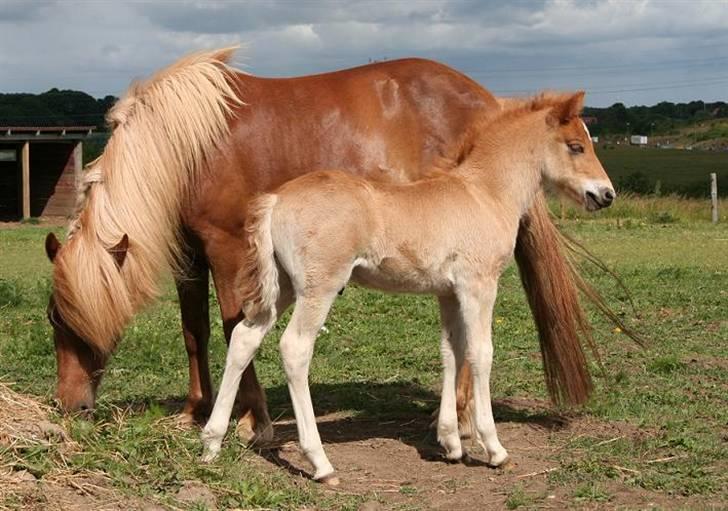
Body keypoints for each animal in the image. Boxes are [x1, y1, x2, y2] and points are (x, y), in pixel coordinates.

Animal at [47, 47, 596, 440]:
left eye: (69, 320)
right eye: (54, 319)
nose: (70, 407)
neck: (186, 145)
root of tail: (488, 98)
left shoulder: (228, 249)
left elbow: (232, 326)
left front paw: (254, 421)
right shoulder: (191, 255)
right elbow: (195, 332)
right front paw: (194, 411)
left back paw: (461, 422)